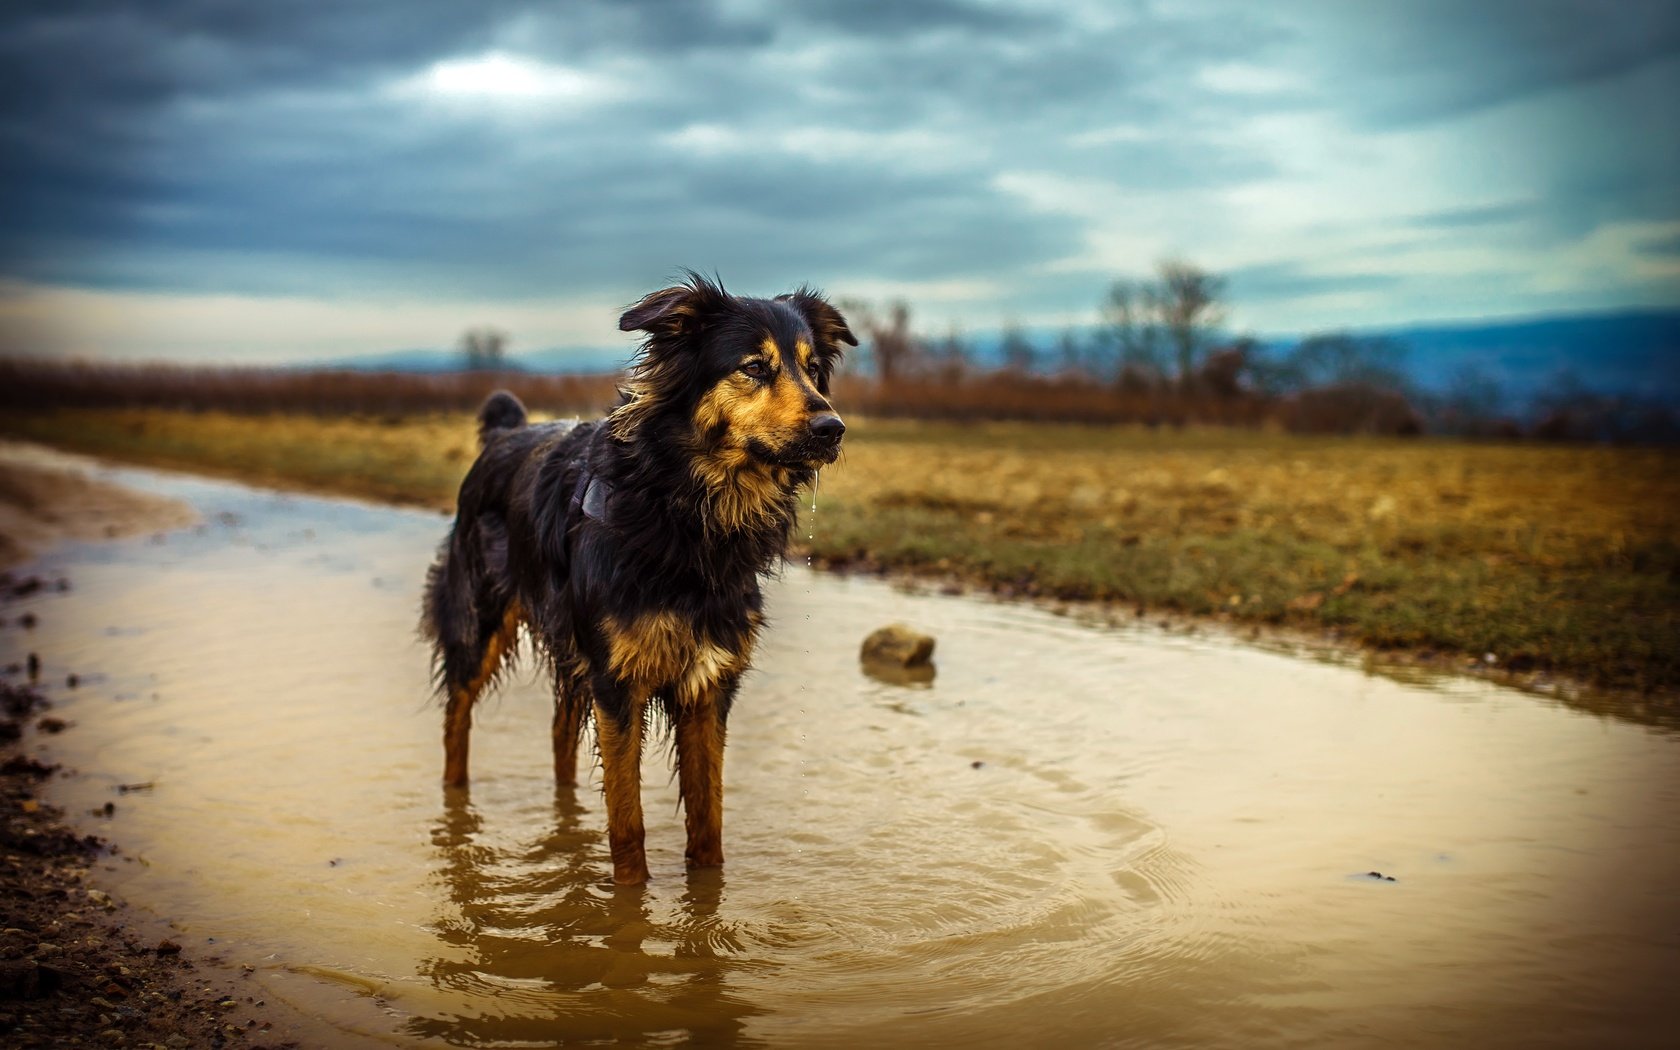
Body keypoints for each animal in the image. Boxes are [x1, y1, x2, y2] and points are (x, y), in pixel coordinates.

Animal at [420, 273, 853, 880]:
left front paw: (706, 894)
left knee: (559, 733)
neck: (687, 516)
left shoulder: (707, 684)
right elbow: (627, 827)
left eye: (813, 370)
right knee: (455, 724)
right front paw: (630, 901)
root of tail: (507, 433)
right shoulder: (619, 684)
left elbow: (708, 822)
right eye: (754, 367)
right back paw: (456, 819)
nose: (833, 428)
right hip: (478, 624)